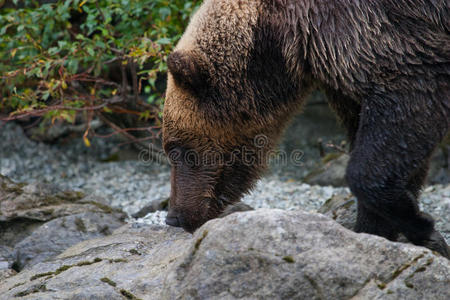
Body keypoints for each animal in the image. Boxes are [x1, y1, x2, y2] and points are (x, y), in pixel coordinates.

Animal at [162, 0, 450, 258]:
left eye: (177, 149)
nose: (174, 217)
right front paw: (379, 230)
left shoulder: (369, 29)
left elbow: (410, 91)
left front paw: (423, 227)